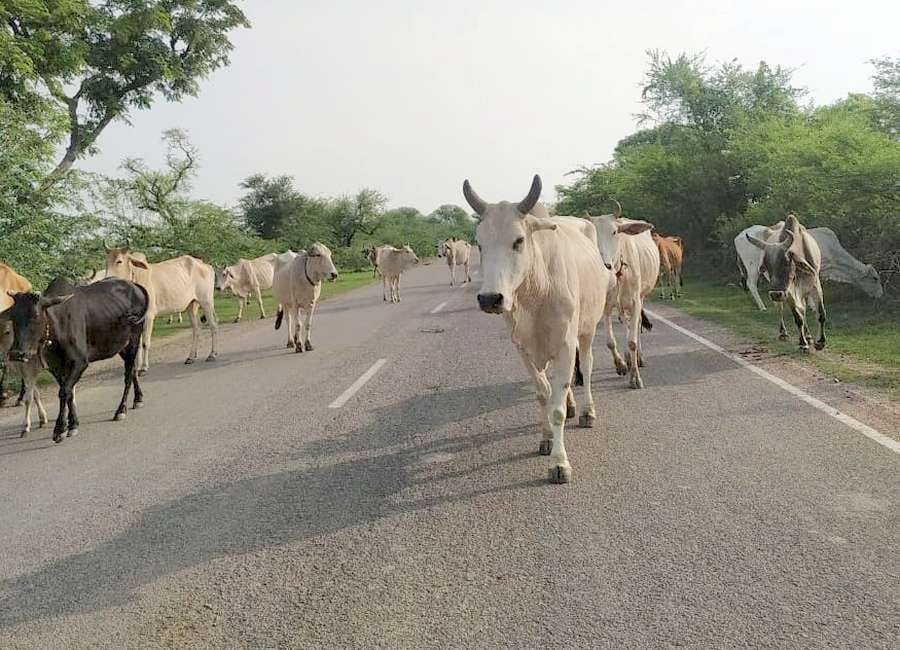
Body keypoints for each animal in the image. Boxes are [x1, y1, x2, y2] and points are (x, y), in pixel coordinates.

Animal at [0, 277, 149, 443]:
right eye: (13, 317)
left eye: (36, 315)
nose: (16, 353)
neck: (57, 324)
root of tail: (134, 285)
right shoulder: (56, 367)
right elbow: (69, 392)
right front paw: (72, 424)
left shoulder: (80, 362)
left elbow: (64, 392)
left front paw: (59, 430)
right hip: (121, 345)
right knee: (133, 370)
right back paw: (138, 399)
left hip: (133, 340)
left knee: (128, 375)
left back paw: (121, 410)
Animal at [464, 174, 611, 484]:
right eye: (480, 244)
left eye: (519, 241)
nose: (490, 299)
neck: (536, 293)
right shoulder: (523, 347)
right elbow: (544, 393)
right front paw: (546, 439)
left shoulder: (565, 344)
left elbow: (556, 408)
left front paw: (559, 462)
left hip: (587, 329)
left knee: (587, 366)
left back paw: (587, 411)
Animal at [588, 201, 660, 389]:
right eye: (592, 235)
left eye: (614, 232)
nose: (604, 264)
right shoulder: (606, 305)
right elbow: (610, 342)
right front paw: (620, 365)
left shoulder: (635, 302)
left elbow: (632, 341)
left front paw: (635, 378)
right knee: (626, 324)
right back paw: (627, 358)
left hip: (641, 297)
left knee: (637, 325)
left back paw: (638, 358)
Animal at [736, 223, 883, 310]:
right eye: (875, 278)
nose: (881, 294)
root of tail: (739, 235)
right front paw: (813, 305)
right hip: (752, 266)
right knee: (751, 284)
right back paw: (762, 307)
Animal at [745, 214, 827, 351]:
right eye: (766, 266)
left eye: (786, 262)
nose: (775, 294)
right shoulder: (787, 293)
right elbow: (798, 318)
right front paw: (803, 343)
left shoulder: (815, 286)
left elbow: (820, 313)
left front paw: (820, 342)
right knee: (781, 309)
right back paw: (783, 333)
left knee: (803, 310)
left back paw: (808, 336)